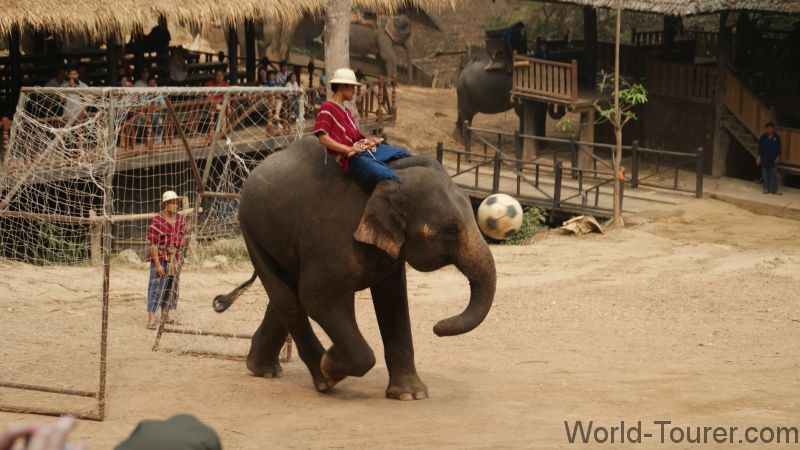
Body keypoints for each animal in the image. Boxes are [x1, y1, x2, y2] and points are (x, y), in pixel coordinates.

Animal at [213, 136, 496, 400]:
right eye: (451, 230)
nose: (437, 327)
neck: (390, 176)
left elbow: (394, 300)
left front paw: (411, 395)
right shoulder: (333, 238)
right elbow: (318, 297)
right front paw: (330, 364)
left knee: (286, 292)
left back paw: (263, 369)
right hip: (251, 228)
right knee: (288, 298)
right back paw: (321, 379)